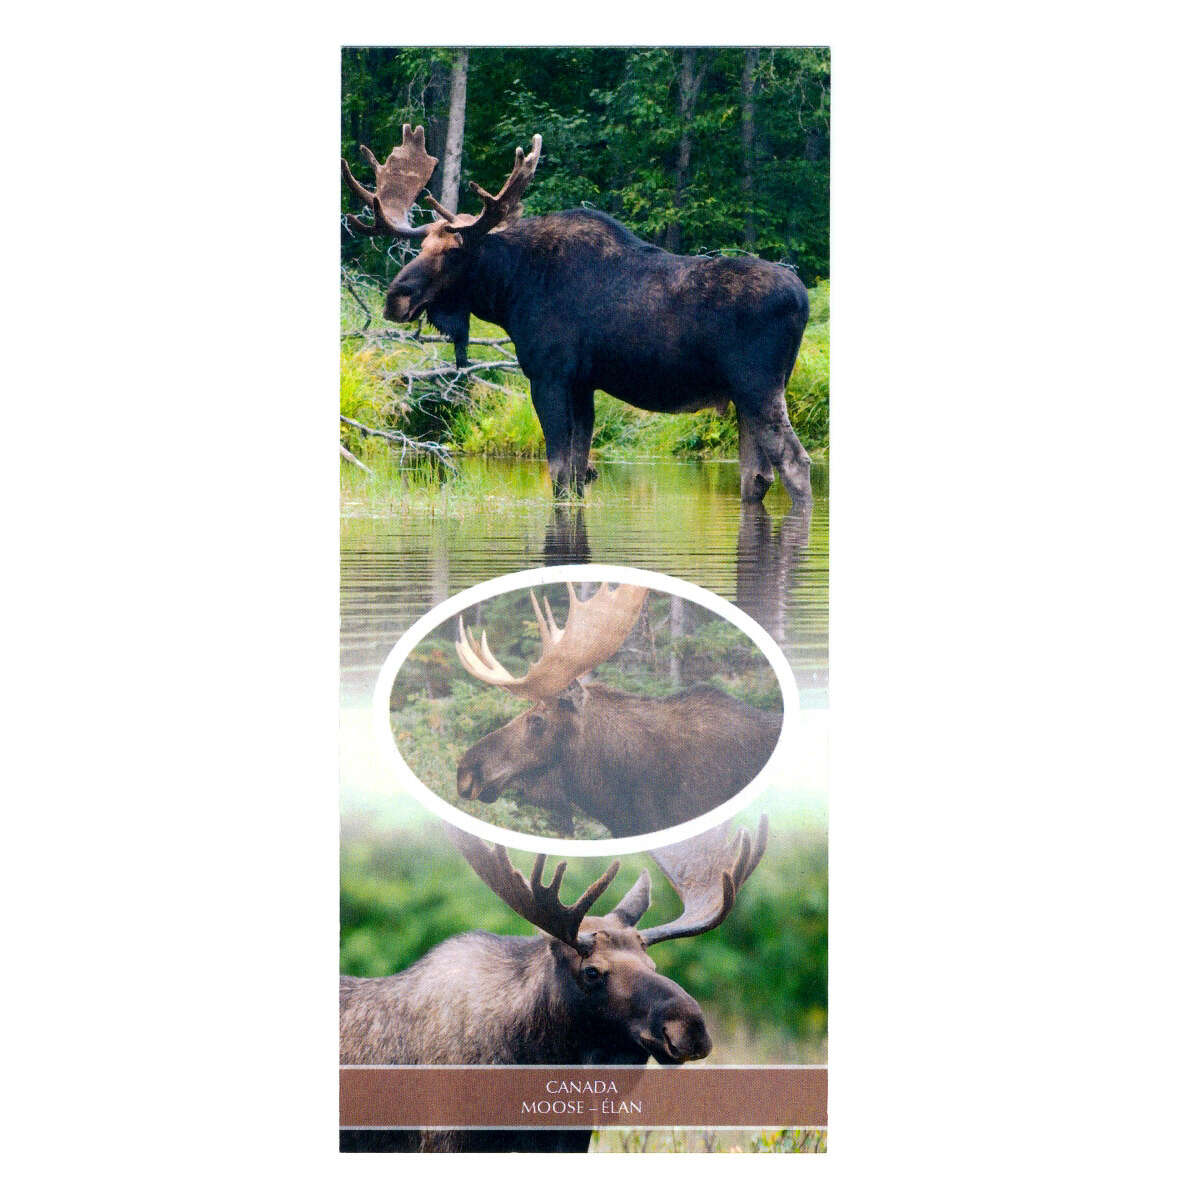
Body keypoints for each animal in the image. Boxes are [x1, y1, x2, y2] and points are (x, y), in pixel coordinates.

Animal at [341, 125, 812, 508]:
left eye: (454, 252)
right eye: (421, 248)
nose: (395, 298)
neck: (510, 290)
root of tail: (805, 300)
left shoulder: (548, 375)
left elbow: (560, 475)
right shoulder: (584, 383)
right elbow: (579, 474)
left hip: (758, 386)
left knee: (796, 464)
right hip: (745, 398)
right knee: (757, 477)